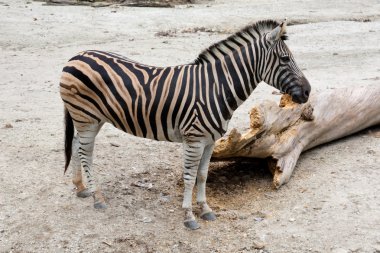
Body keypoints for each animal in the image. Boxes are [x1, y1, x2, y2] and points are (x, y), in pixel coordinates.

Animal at [60, 19, 312, 229]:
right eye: (285, 59)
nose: (308, 92)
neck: (217, 88)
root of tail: (76, 55)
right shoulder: (194, 140)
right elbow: (189, 177)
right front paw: (189, 216)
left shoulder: (210, 141)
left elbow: (202, 176)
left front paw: (205, 209)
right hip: (86, 117)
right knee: (86, 153)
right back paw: (97, 197)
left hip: (92, 118)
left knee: (76, 145)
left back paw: (81, 188)